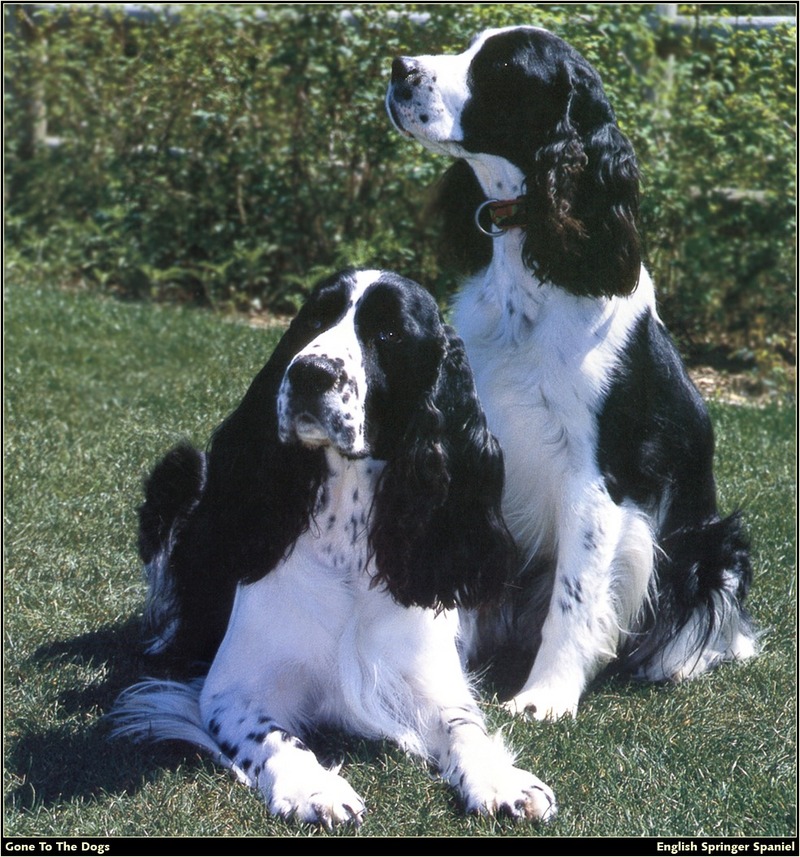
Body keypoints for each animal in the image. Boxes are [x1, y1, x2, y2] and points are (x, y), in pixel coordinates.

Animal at [388, 26, 756, 720]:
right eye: (472, 43)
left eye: (501, 66)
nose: (399, 68)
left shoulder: (597, 474)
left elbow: (577, 593)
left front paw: (544, 697)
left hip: (716, 539)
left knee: (713, 618)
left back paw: (677, 661)